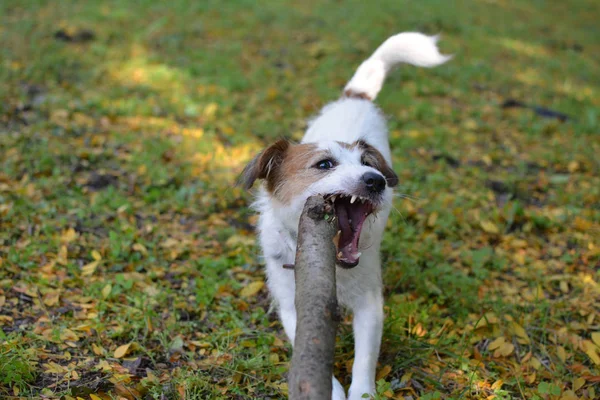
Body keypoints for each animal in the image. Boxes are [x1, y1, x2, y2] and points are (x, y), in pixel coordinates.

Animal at [241, 32, 448, 400]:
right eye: (324, 164)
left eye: (368, 163)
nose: (377, 181)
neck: (333, 265)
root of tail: (356, 98)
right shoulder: (293, 308)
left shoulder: (370, 305)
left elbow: (363, 360)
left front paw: (362, 392)